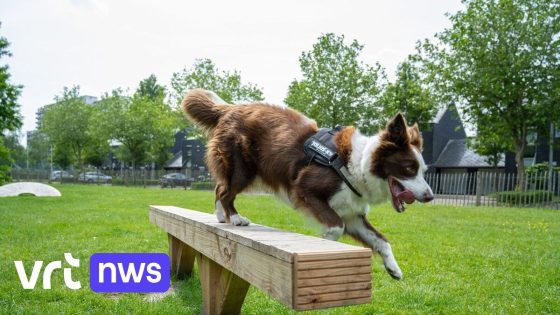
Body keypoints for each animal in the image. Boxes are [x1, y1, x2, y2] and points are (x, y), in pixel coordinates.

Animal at [183, 90, 434, 280]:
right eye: (409, 169)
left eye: (423, 171)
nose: (430, 197)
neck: (358, 164)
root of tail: (229, 109)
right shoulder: (305, 189)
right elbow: (336, 226)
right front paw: (324, 244)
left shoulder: (352, 212)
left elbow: (381, 240)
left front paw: (393, 268)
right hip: (243, 168)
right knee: (226, 191)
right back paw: (235, 218)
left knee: (220, 188)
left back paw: (221, 216)